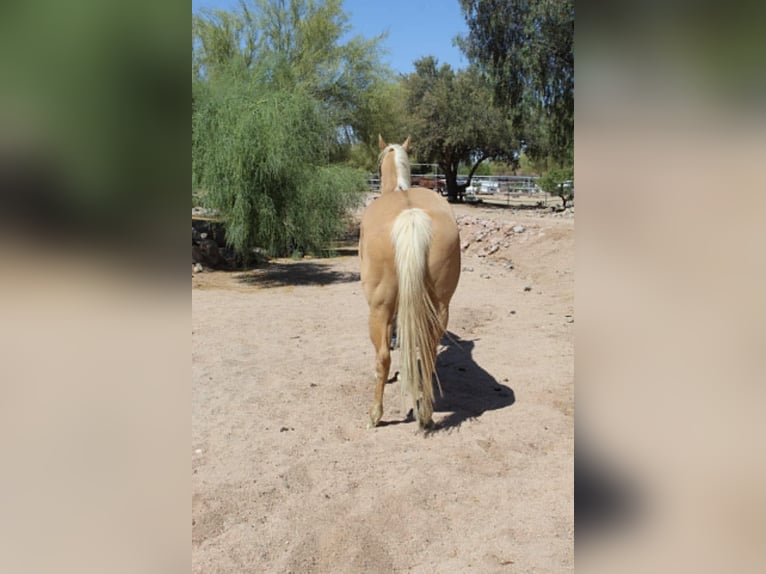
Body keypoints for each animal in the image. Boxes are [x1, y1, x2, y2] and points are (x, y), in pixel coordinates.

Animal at [358, 135, 461, 429]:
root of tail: (411, 216)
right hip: (440, 306)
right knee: (427, 352)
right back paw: (425, 414)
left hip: (378, 307)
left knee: (382, 357)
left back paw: (375, 415)